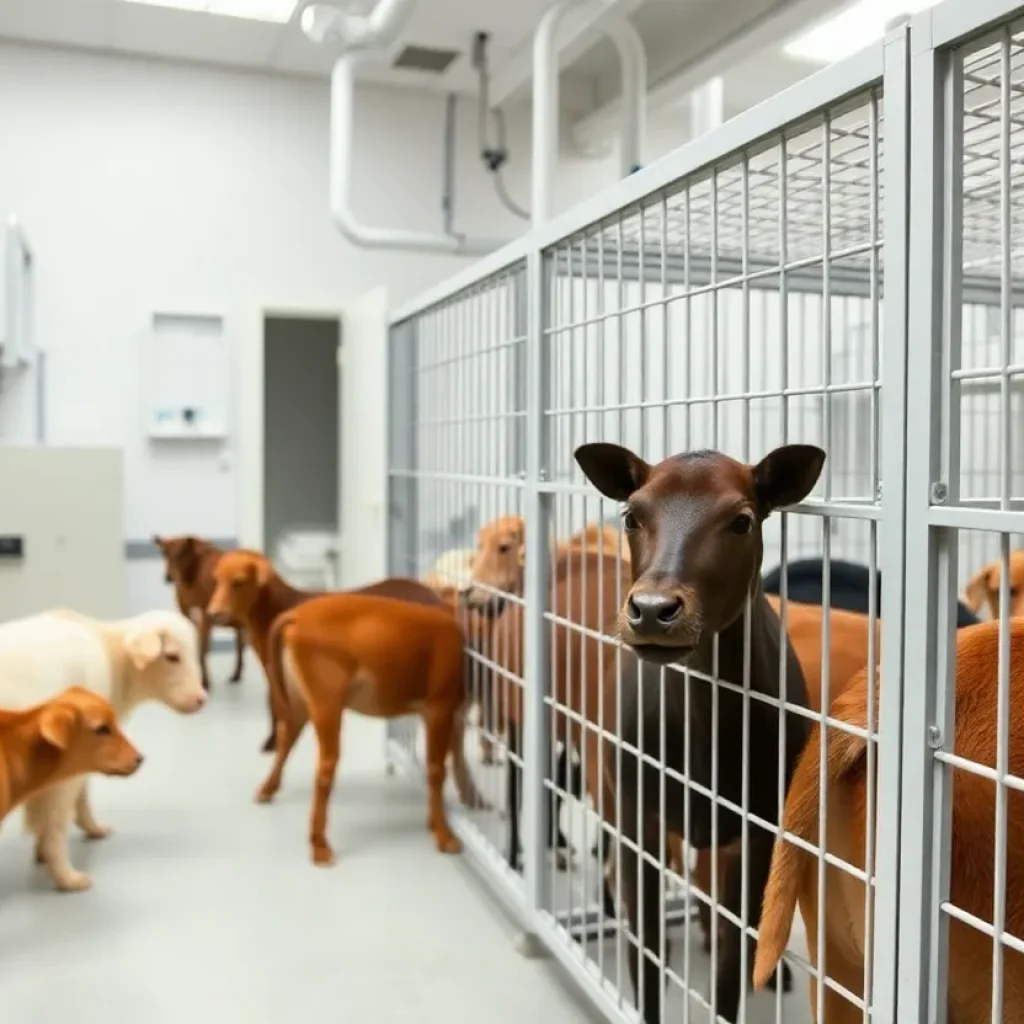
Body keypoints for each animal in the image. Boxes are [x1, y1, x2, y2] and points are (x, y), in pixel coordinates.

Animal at [153, 532, 245, 692]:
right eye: (164, 552)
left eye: (181, 553)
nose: (168, 577)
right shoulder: (186, 613)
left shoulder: (206, 615)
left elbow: (204, 648)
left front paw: (205, 682)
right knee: (240, 640)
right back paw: (236, 675)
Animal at [249, 593, 473, 864]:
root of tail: (297, 616)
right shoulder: (441, 707)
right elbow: (437, 770)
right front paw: (444, 836)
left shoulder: (445, 714)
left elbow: (454, 759)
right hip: (327, 702)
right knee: (325, 766)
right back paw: (320, 845)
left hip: (298, 699)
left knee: (286, 739)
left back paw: (266, 790)